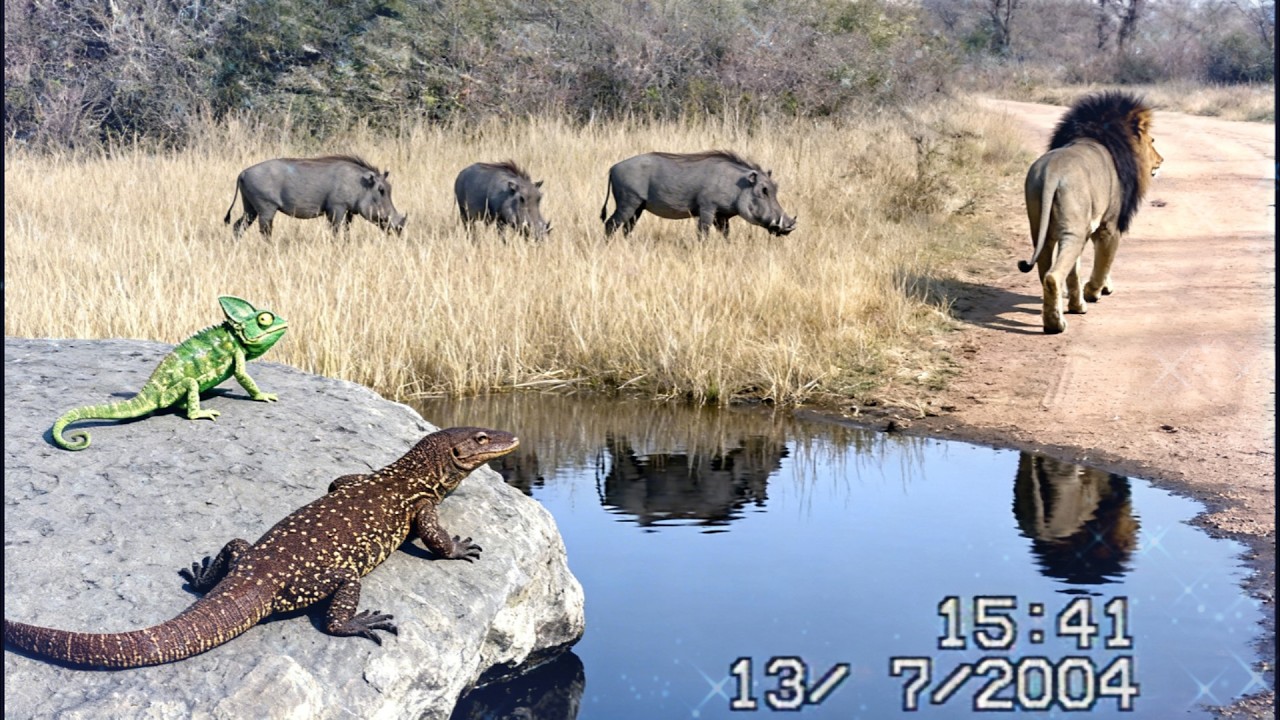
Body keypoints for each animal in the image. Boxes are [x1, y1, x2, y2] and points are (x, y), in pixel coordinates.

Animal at [1020, 91, 1163, 334]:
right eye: (1152, 141)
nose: (1161, 160)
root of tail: (1052, 172)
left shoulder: (1089, 226)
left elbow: (1079, 270)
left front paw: (1086, 297)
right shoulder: (1109, 226)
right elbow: (1103, 261)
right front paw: (1094, 291)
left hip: (1043, 228)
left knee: (1047, 269)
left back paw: (1064, 311)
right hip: (1074, 231)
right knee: (1053, 276)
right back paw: (1056, 324)